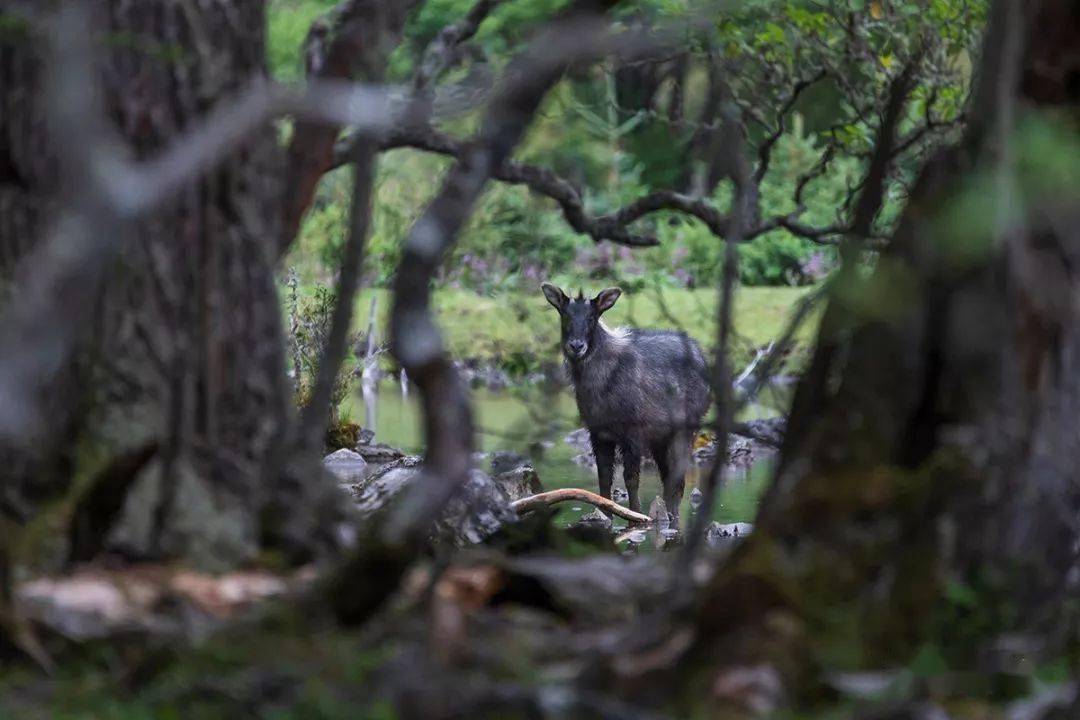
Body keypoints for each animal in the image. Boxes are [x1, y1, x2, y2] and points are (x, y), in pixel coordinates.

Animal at [540, 280, 708, 518]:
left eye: (592, 317)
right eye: (564, 315)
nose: (576, 346)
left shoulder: (633, 432)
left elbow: (631, 480)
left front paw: (636, 516)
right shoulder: (598, 433)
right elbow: (603, 479)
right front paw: (605, 515)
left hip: (686, 428)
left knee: (678, 480)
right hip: (660, 437)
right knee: (668, 479)